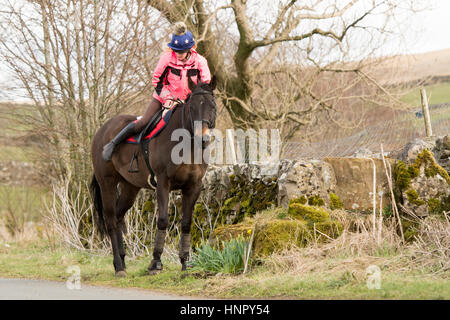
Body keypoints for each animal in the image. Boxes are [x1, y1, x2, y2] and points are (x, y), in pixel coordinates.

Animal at [89, 76, 216, 276]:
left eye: (212, 106)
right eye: (192, 107)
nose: (203, 138)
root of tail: (102, 131)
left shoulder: (193, 186)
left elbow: (186, 223)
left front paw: (185, 263)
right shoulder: (163, 183)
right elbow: (163, 221)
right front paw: (156, 262)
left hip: (130, 187)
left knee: (118, 216)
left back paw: (123, 260)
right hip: (107, 183)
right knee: (110, 220)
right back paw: (118, 266)